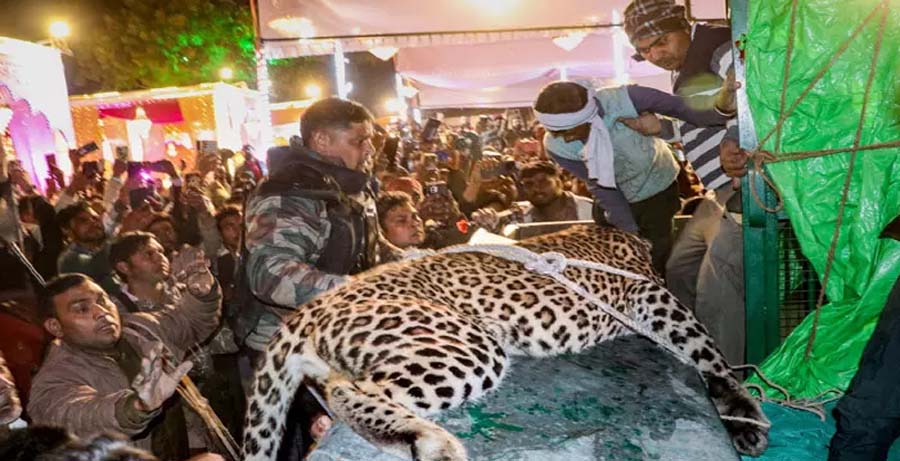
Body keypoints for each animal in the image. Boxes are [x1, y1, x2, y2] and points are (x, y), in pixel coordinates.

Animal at [243, 225, 768, 458]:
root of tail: (311, 307)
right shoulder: (650, 296)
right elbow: (707, 351)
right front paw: (745, 412)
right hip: (462, 345)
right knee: (351, 391)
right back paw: (430, 442)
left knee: (336, 390)